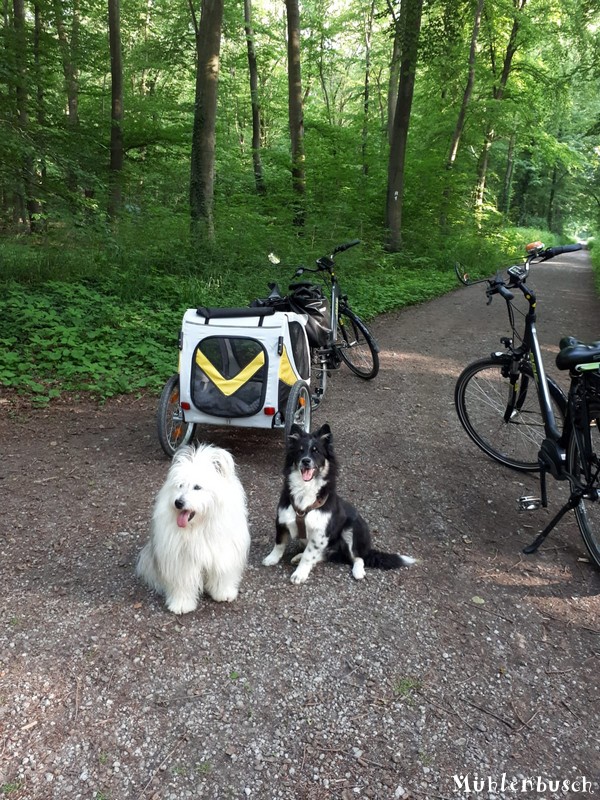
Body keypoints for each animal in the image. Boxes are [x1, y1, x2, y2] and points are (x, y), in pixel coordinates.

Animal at [135, 444, 248, 612]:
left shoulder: (223, 553)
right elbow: (183, 583)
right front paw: (181, 604)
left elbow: (222, 574)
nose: (178, 502)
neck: (198, 526)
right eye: (180, 485)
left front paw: (223, 593)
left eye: (197, 487)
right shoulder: (182, 561)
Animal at [264, 422, 414, 584]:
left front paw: (300, 573)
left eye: (316, 451)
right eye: (300, 450)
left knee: (357, 557)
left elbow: (309, 555)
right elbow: (279, 543)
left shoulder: (320, 533)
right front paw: (272, 558)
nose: (306, 461)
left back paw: (358, 571)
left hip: (352, 529)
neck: (305, 490)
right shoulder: (282, 520)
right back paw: (298, 556)